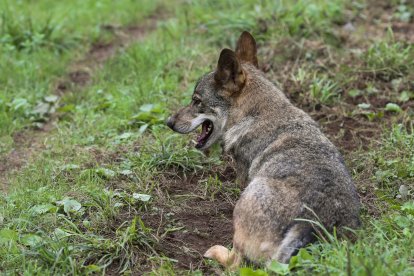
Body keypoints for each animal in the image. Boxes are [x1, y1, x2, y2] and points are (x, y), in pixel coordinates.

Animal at [165, 31, 360, 268]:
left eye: (196, 101)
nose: (168, 122)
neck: (256, 114)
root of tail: (310, 223)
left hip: (243, 206)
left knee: (235, 263)